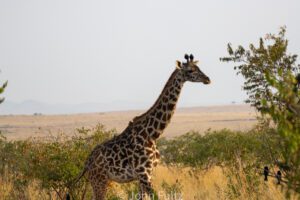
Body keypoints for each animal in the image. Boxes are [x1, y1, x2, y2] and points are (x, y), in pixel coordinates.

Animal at [76, 54, 210, 199]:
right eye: (190, 70)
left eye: (198, 67)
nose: (207, 79)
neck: (152, 134)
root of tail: (87, 162)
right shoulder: (144, 174)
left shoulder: (147, 174)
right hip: (99, 179)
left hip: (101, 180)